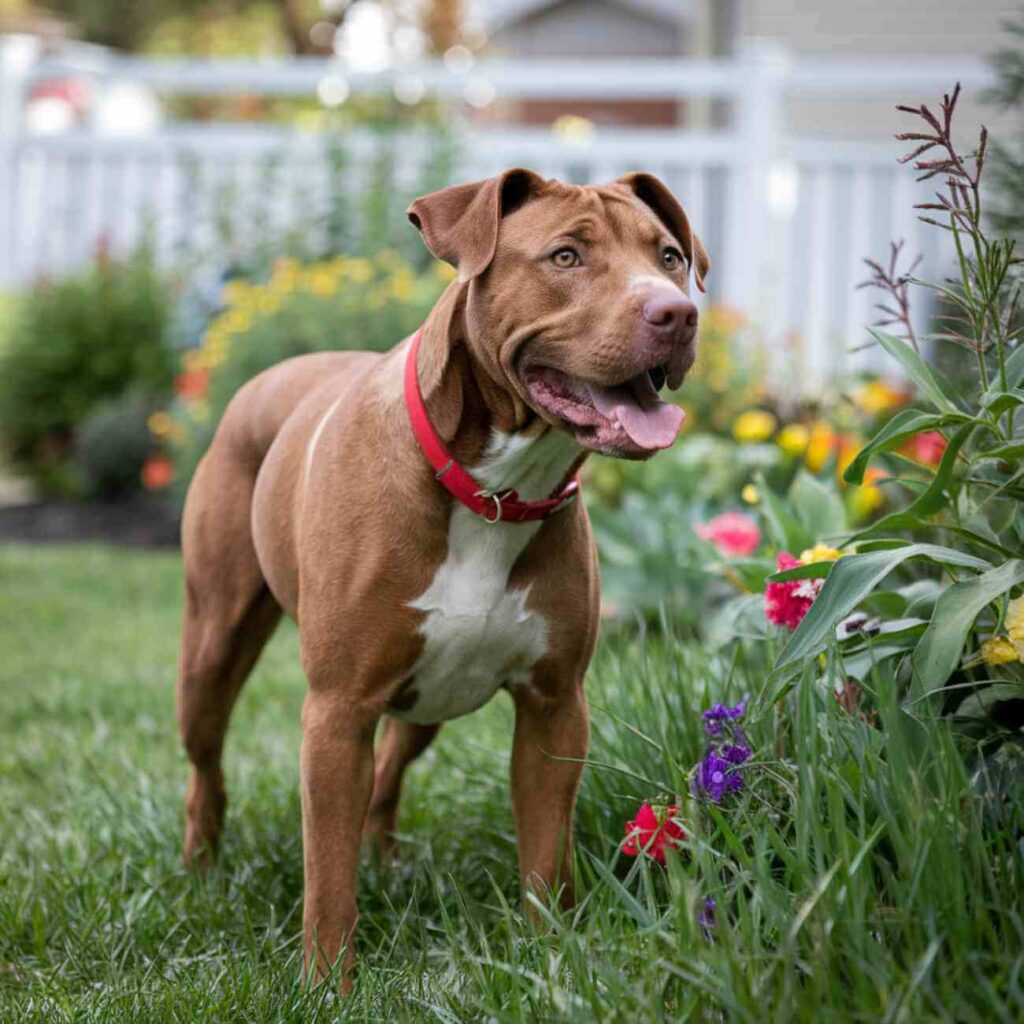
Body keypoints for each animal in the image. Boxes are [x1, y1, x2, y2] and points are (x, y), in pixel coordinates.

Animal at [178, 167, 704, 983]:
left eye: (671, 256)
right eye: (565, 257)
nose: (677, 313)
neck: (494, 489)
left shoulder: (555, 705)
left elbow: (544, 855)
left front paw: (551, 960)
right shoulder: (336, 713)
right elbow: (326, 876)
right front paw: (326, 986)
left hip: (426, 694)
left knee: (389, 772)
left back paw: (386, 860)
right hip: (213, 647)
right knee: (207, 764)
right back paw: (200, 869)